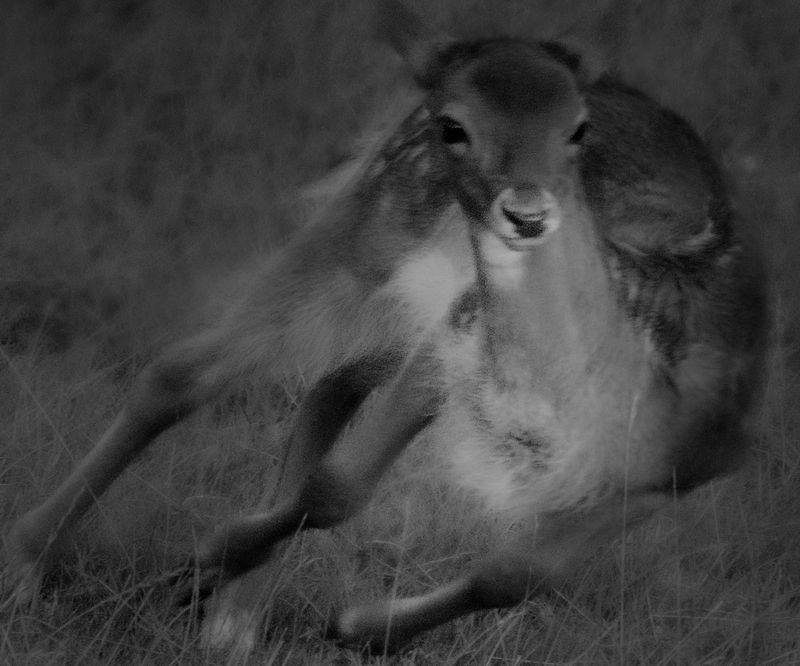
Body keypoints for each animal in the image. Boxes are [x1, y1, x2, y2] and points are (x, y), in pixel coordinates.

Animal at [6, 1, 766, 656]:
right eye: (454, 126)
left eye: (578, 130)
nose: (526, 212)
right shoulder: (453, 340)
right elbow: (337, 488)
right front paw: (209, 556)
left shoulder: (683, 466)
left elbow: (522, 575)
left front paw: (360, 628)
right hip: (367, 231)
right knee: (184, 372)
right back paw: (26, 564)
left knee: (326, 389)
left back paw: (234, 622)